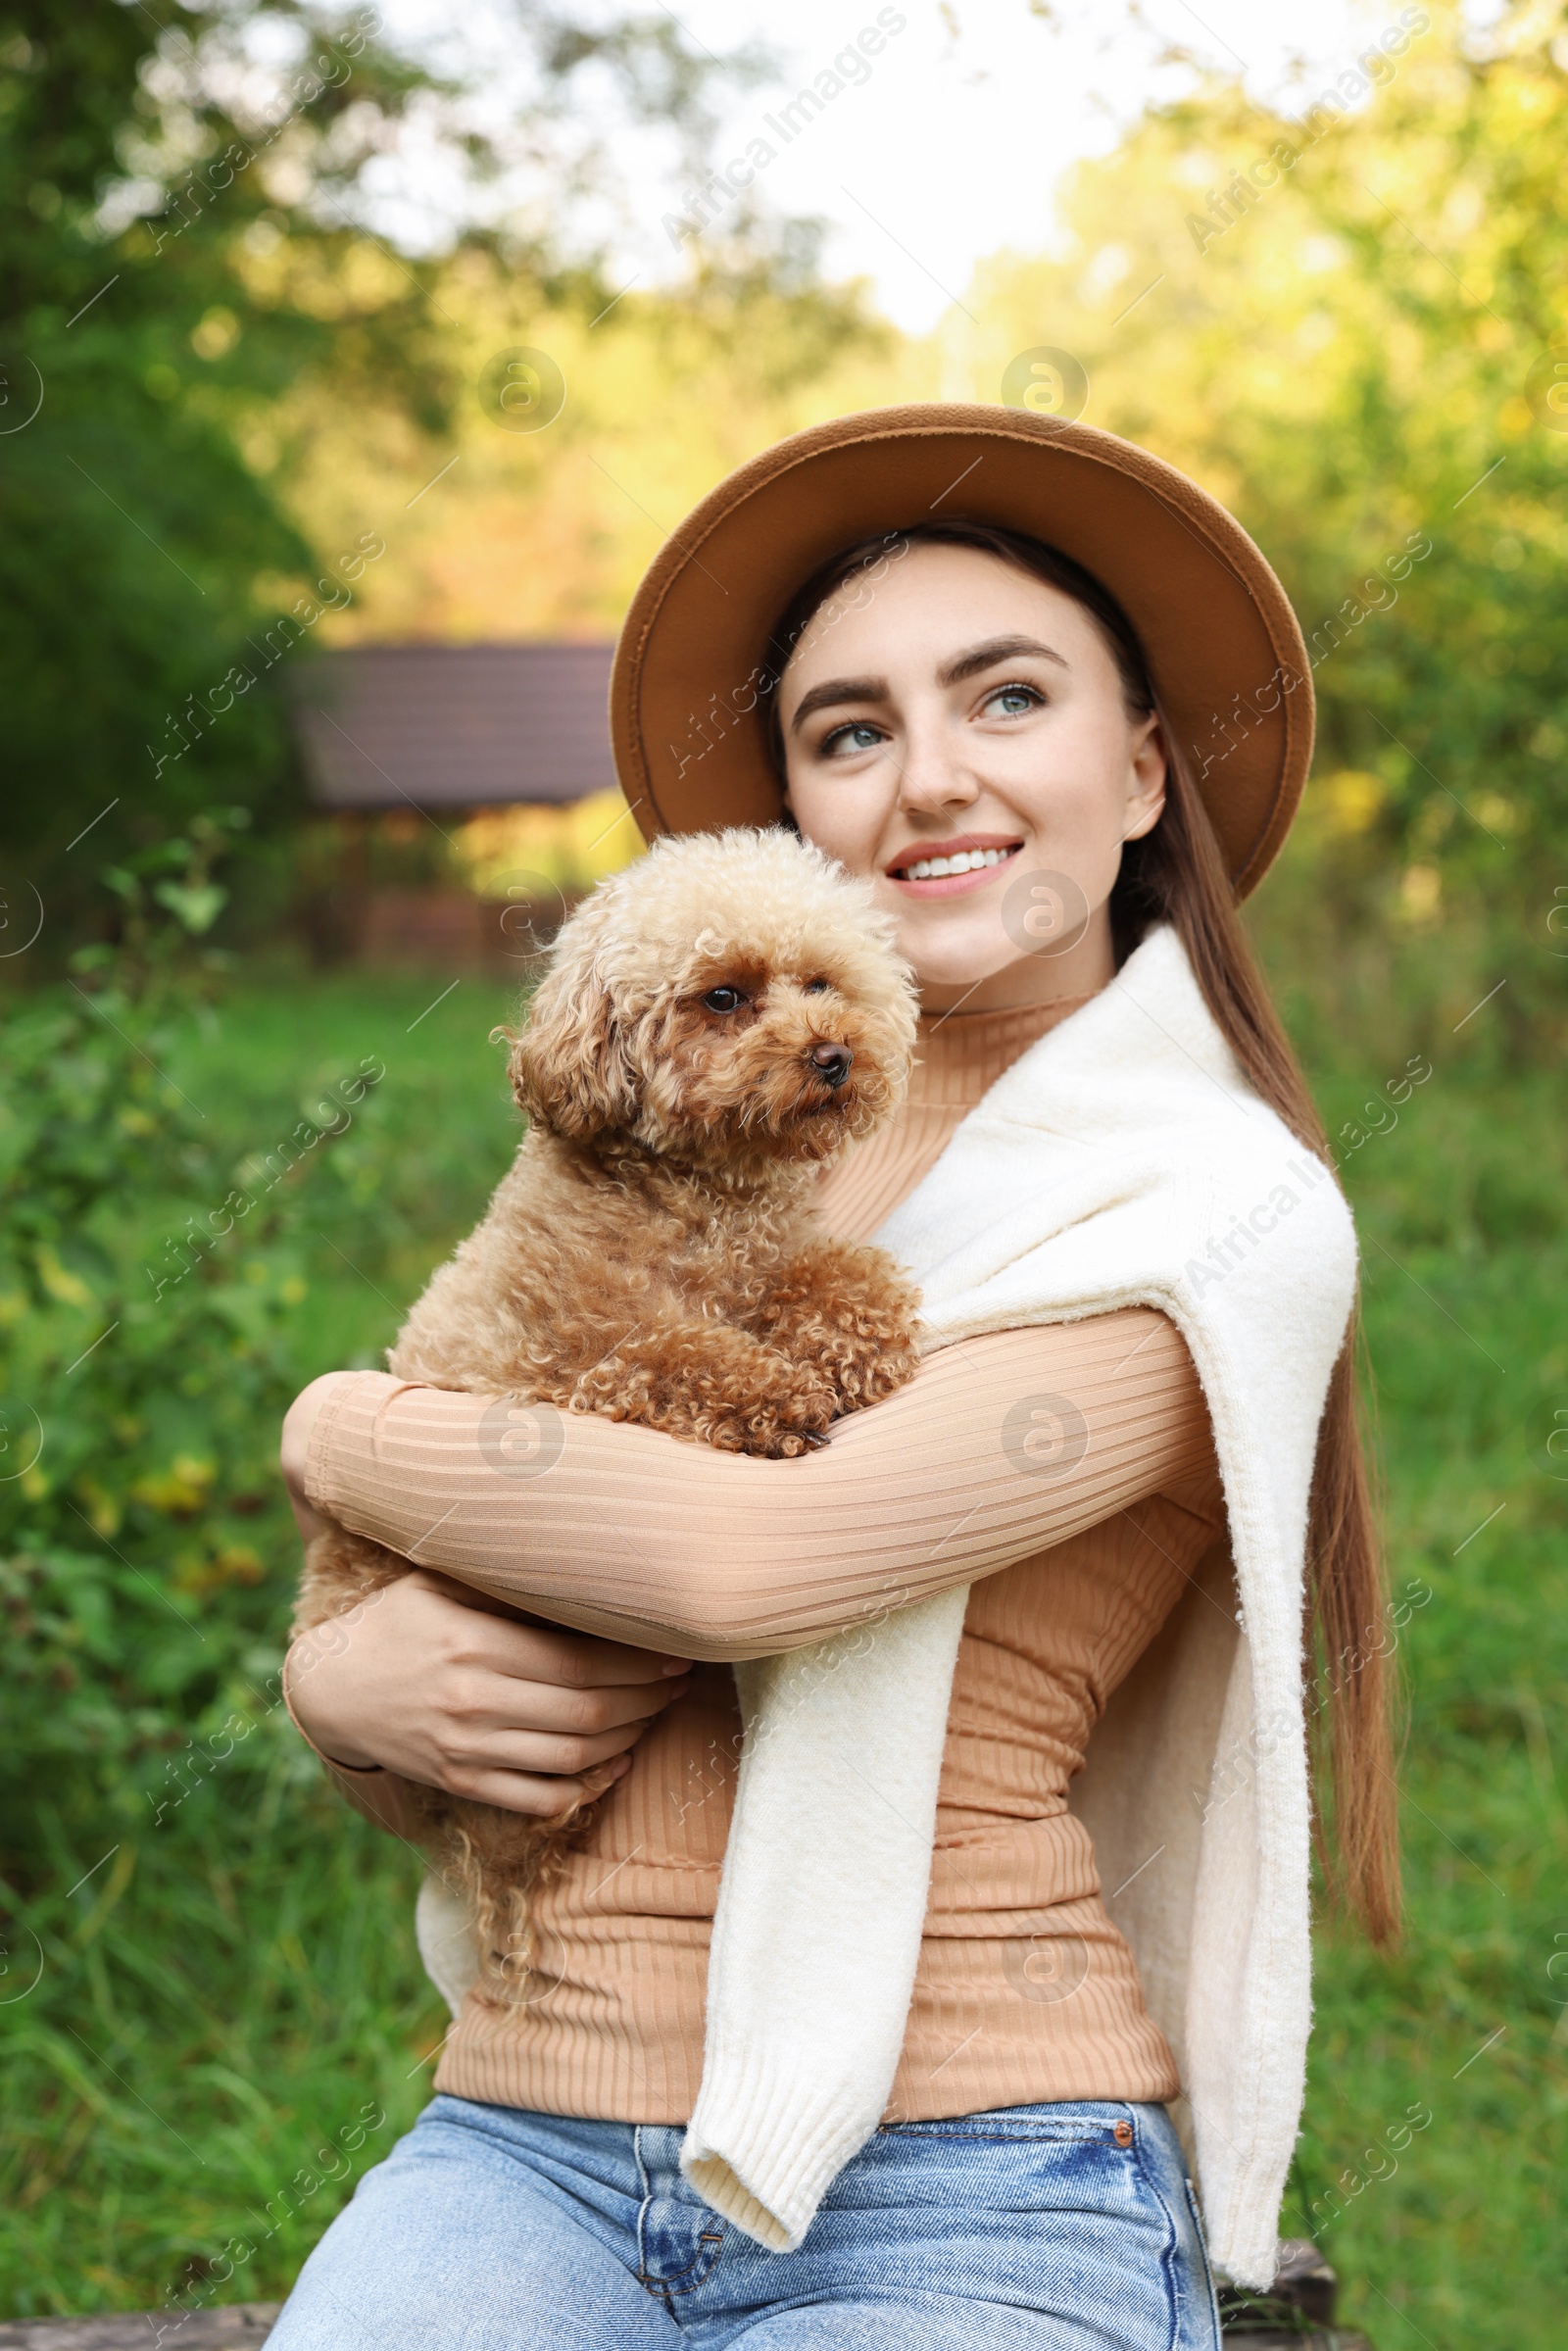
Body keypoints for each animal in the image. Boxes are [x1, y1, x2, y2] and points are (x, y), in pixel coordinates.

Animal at [297, 832, 921, 2002]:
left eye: (821, 982)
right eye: (722, 996)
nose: (832, 1055)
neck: (704, 1201)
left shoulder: (773, 1254)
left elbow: (832, 1271)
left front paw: (865, 1331)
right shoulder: (587, 1355)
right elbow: (689, 1353)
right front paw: (783, 1396)